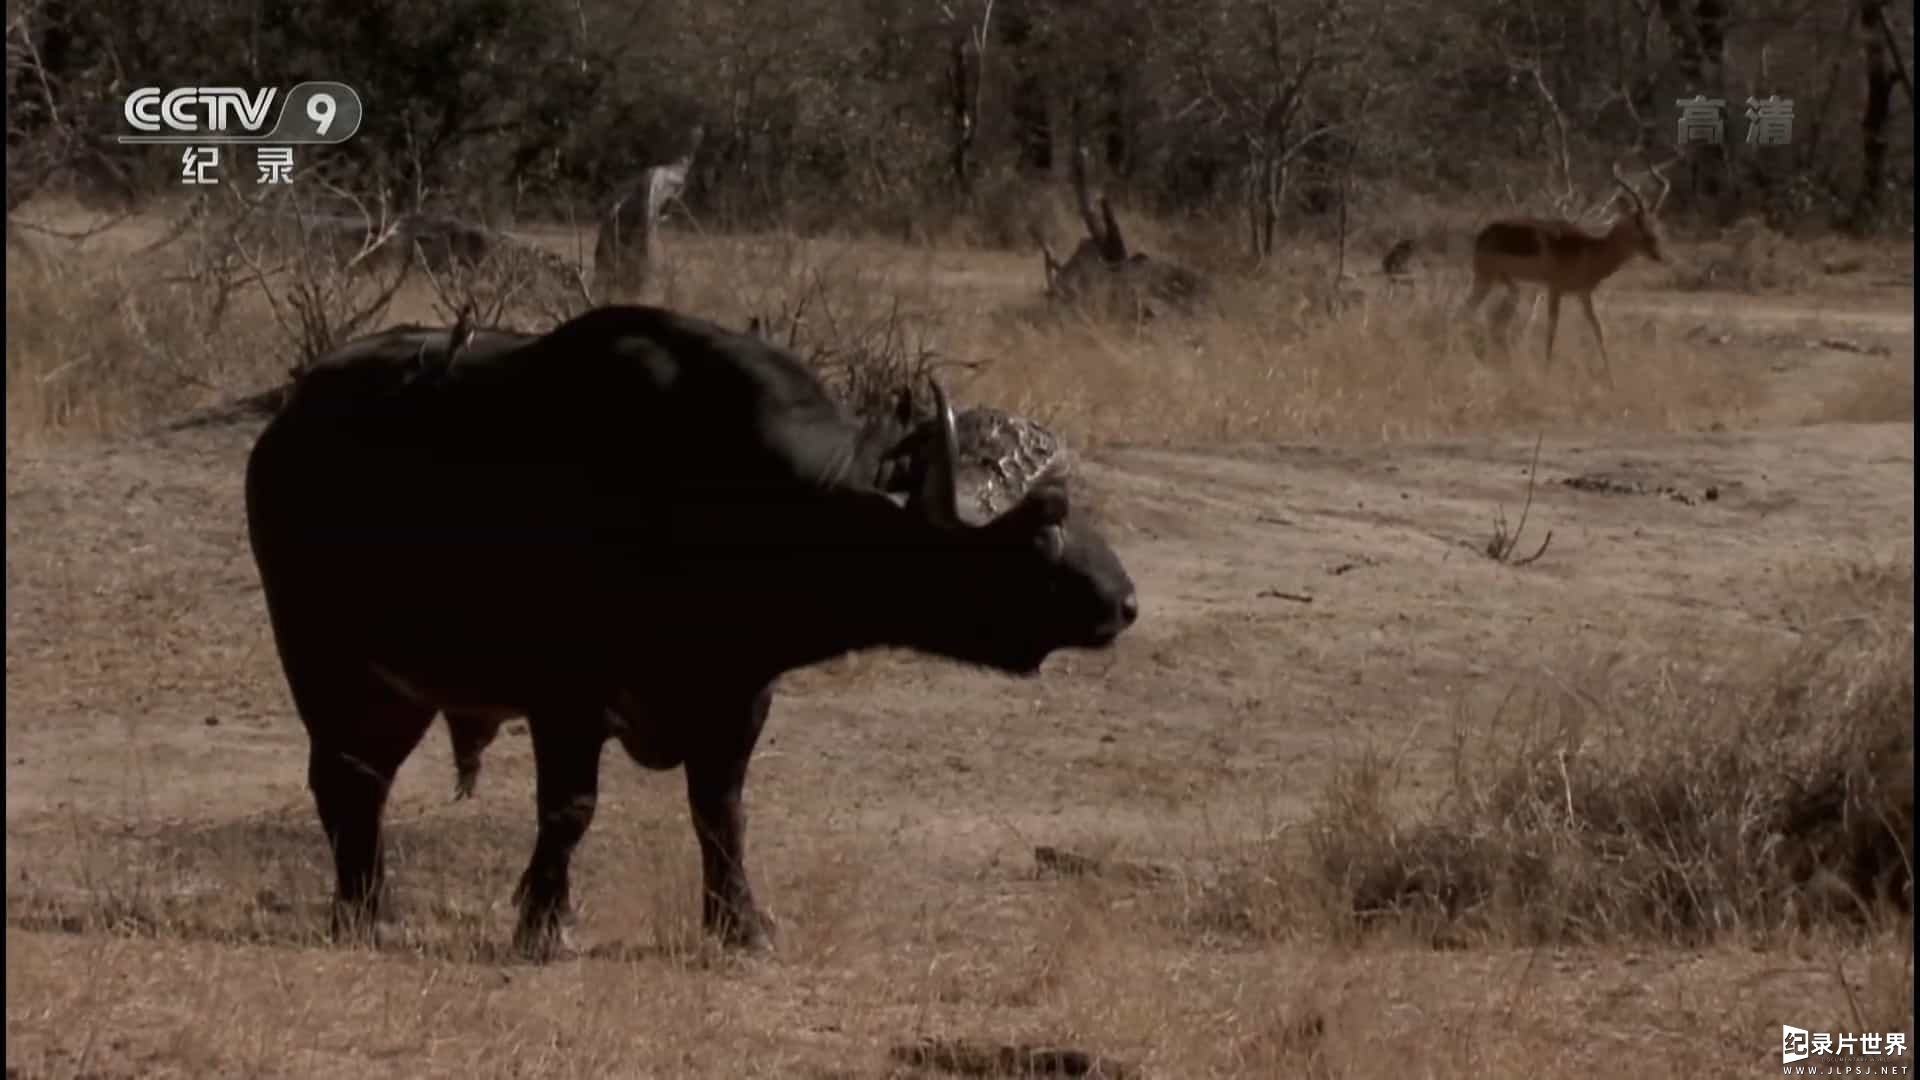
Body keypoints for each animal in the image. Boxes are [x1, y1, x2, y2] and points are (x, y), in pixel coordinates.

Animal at [243, 303, 1136, 949]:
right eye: (1040, 528)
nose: (1125, 602)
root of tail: (284, 426)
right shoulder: (567, 698)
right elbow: (569, 809)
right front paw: (543, 922)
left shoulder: (739, 699)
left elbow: (721, 813)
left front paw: (741, 924)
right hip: (324, 660)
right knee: (342, 778)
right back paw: (360, 910)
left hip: (400, 690)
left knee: (365, 779)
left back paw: (366, 905)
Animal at [1459, 159, 1674, 378]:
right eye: (1637, 223)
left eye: (1654, 222)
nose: (1658, 255)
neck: (1589, 250)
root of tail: (1483, 235)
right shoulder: (1555, 289)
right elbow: (1552, 330)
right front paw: (1547, 372)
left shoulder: (1583, 294)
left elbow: (1598, 329)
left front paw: (1611, 378)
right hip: (1493, 281)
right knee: (1477, 316)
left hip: (1498, 283)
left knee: (1487, 319)